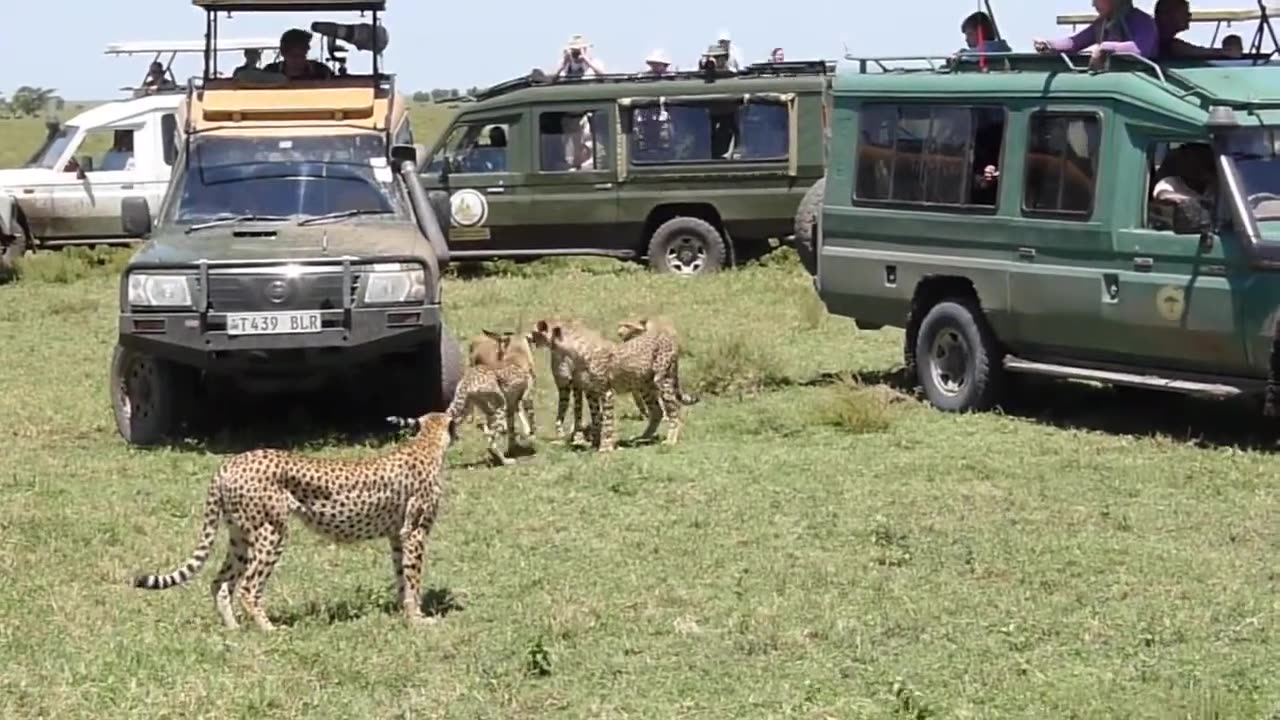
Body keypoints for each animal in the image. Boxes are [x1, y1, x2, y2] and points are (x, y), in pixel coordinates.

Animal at [129, 409, 458, 627]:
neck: (426, 444)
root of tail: (230, 463)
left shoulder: (397, 535)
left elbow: (402, 576)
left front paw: (406, 613)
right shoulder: (414, 533)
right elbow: (413, 577)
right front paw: (419, 619)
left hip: (239, 536)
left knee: (220, 582)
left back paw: (233, 629)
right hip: (271, 532)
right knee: (248, 586)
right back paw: (268, 628)